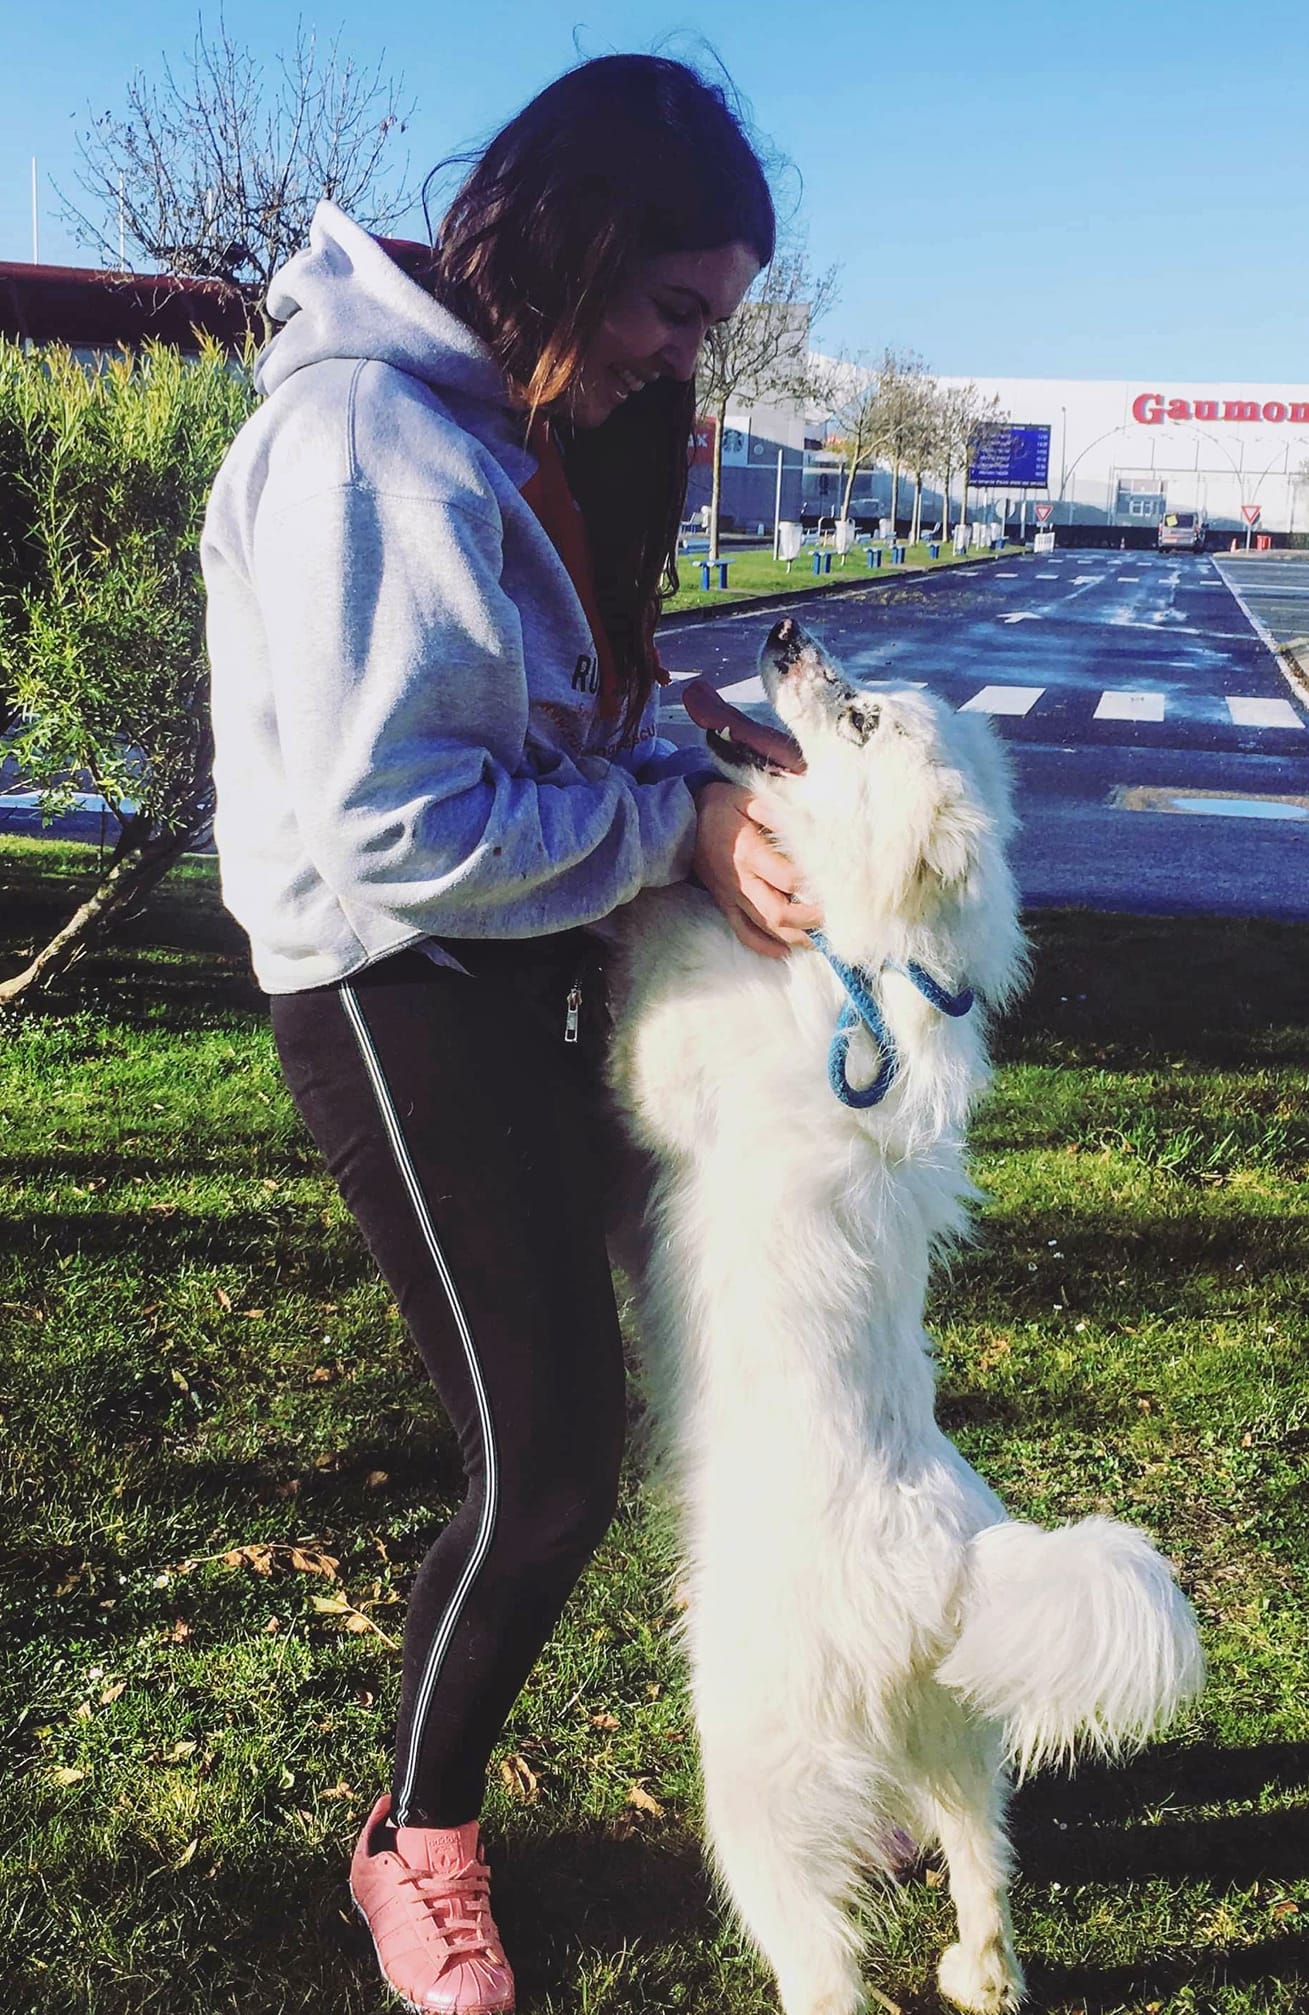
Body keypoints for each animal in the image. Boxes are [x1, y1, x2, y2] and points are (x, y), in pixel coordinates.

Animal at [608, 616, 1200, 2015]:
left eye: (864, 714)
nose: (779, 628)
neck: (866, 978)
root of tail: (946, 1573)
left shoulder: (672, 1058)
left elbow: (660, 985)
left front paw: (676, 866)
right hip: (950, 1739)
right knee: (985, 1864)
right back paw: (980, 1972)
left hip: (757, 1785)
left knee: (825, 1968)